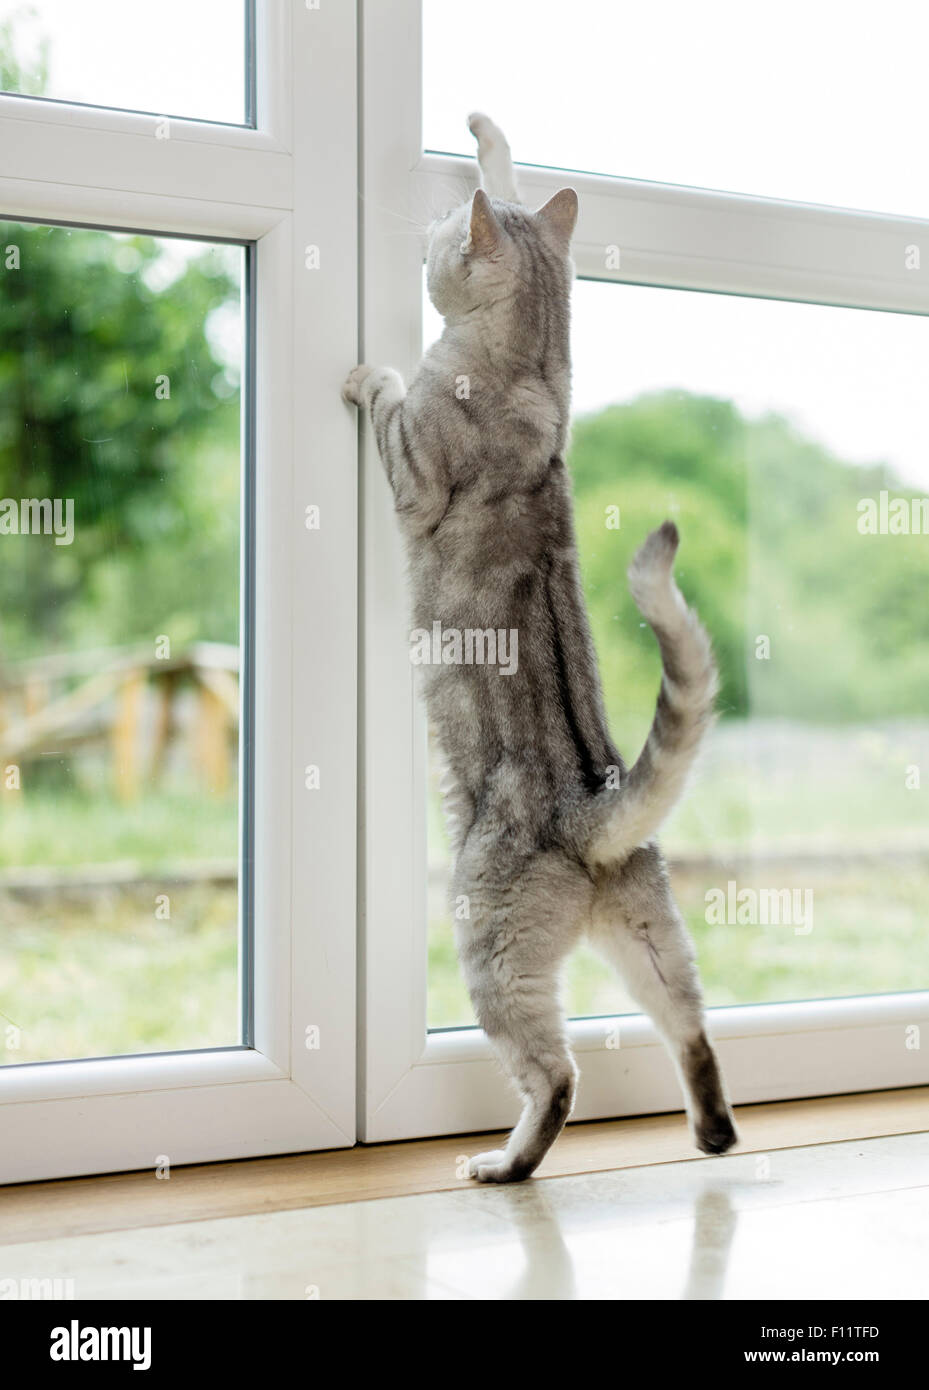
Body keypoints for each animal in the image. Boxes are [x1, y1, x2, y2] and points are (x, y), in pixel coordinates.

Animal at [344, 111, 734, 1184]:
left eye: (444, 234)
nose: (423, 232)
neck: (534, 369)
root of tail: (590, 812)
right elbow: (513, 170)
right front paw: (486, 136)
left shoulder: (412, 462)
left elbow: (388, 399)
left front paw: (367, 372)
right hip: (655, 943)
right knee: (693, 1033)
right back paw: (712, 1135)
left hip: (488, 952)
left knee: (556, 1078)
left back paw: (502, 1165)